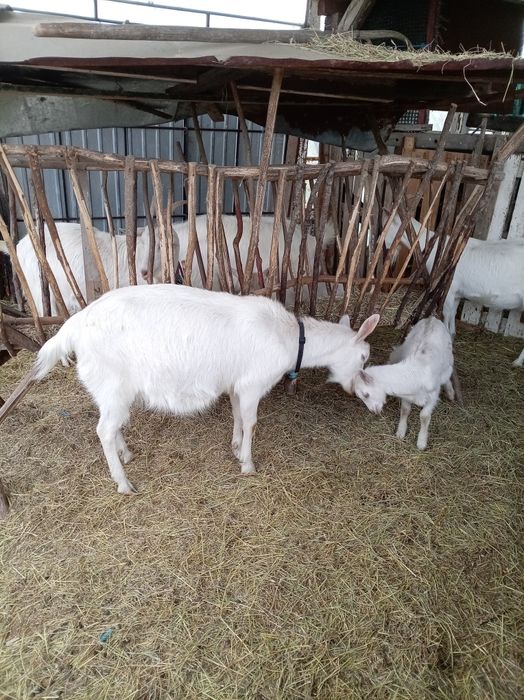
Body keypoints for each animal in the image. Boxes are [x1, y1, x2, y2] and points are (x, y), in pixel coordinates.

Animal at [33, 284, 380, 494]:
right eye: (364, 357)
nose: (368, 400)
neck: (287, 336)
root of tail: (74, 326)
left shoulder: (237, 384)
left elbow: (238, 417)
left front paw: (236, 447)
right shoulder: (253, 383)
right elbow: (252, 422)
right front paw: (248, 464)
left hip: (108, 390)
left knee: (110, 425)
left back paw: (126, 454)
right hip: (112, 381)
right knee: (103, 430)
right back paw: (123, 483)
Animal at [354, 317, 454, 450]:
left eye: (366, 394)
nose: (374, 411)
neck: (416, 371)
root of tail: (432, 318)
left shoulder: (432, 397)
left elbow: (424, 416)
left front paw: (421, 442)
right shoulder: (407, 394)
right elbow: (405, 410)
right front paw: (401, 432)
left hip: (449, 358)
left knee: (448, 374)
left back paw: (451, 392)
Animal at [385, 215, 524, 366]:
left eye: (386, 228)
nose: (385, 250)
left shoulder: (449, 289)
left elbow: (446, 313)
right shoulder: (456, 293)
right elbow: (453, 313)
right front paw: (452, 335)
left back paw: (518, 362)